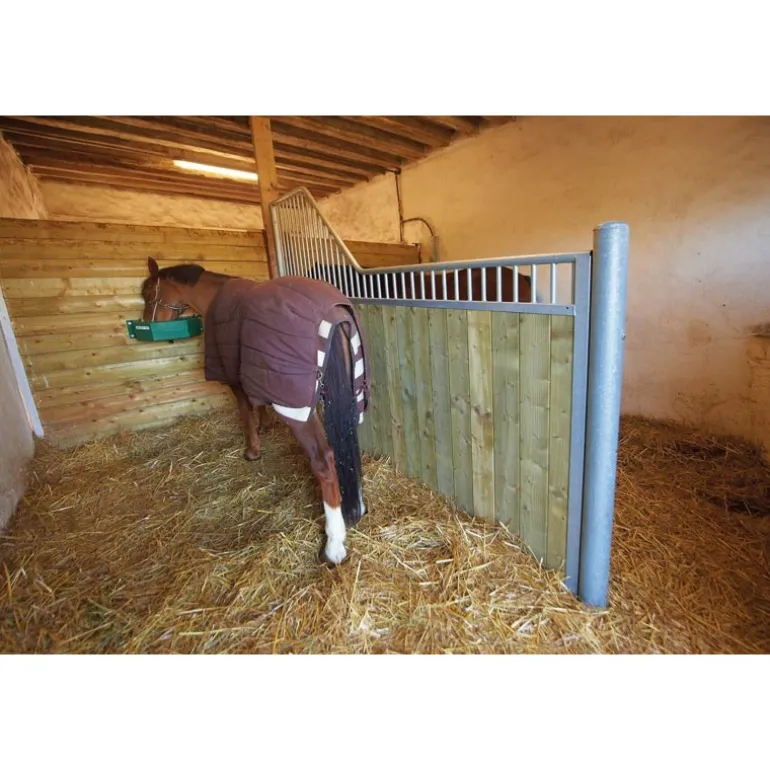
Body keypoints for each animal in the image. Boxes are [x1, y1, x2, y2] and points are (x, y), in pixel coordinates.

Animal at [140, 257, 369, 564]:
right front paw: (265, 427)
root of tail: (333, 312)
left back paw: (334, 544)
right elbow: (258, 405)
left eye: (148, 293)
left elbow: (245, 412)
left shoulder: (234, 378)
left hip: (299, 411)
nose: (147, 322)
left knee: (324, 461)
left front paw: (252, 450)